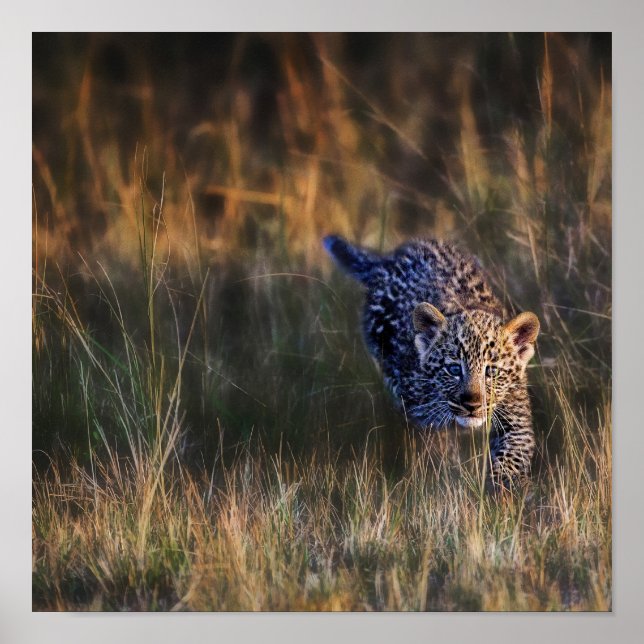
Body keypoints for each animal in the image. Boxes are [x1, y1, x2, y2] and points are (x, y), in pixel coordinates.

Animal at [323, 234, 540, 488]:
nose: (472, 405)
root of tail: (389, 260)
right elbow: (437, 450)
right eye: (454, 369)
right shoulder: (422, 417)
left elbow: (511, 456)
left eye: (492, 372)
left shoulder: (516, 419)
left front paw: (503, 490)